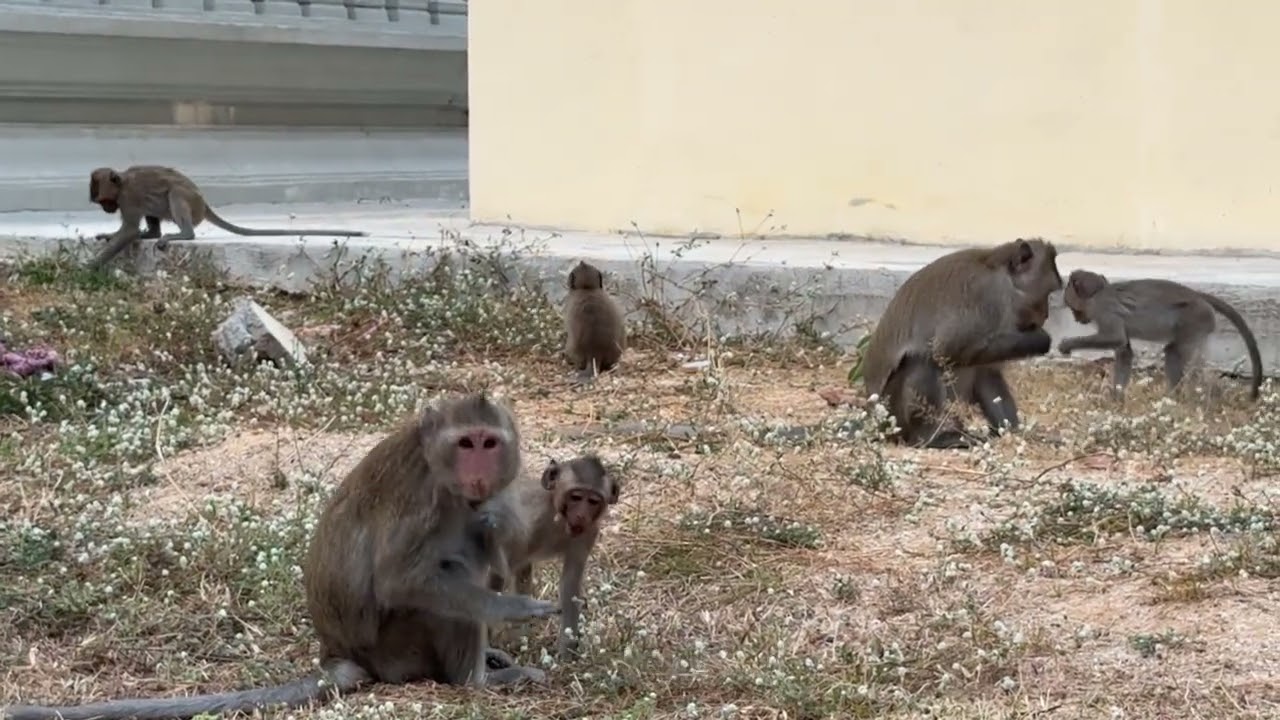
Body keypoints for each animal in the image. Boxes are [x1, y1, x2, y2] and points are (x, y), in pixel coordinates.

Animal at [3, 394, 559, 720]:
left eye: (488, 443)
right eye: (465, 443)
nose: (478, 470)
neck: (443, 474)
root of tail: (340, 654)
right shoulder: (424, 500)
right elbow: (400, 581)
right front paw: (514, 609)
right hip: (396, 648)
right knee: (450, 578)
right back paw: (479, 680)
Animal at [86, 165, 366, 270]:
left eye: (106, 202)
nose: (107, 210)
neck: (122, 183)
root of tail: (204, 204)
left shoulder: (128, 198)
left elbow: (130, 230)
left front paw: (90, 267)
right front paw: (110, 235)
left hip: (191, 204)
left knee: (174, 193)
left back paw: (183, 234)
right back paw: (153, 233)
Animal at [478, 454, 620, 661]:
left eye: (593, 501)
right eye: (576, 497)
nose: (581, 515)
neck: (555, 513)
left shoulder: (588, 533)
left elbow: (570, 582)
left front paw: (567, 653)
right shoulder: (527, 525)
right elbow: (499, 573)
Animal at [861, 237, 1064, 449]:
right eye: (1047, 293)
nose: (1046, 314)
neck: (1004, 279)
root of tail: (876, 420)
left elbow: (987, 373)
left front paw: (1014, 432)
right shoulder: (986, 298)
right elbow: (946, 348)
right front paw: (1041, 339)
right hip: (893, 415)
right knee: (923, 361)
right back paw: (931, 437)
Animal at [1057, 269, 1263, 401]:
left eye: (1074, 309)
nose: (1077, 319)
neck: (1098, 292)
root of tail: (1198, 296)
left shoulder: (1103, 308)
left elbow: (1115, 337)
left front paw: (1067, 344)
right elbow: (1124, 351)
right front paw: (1116, 398)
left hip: (1195, 319)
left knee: (1181, 354)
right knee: (1173, 352)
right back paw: (1174, 398)